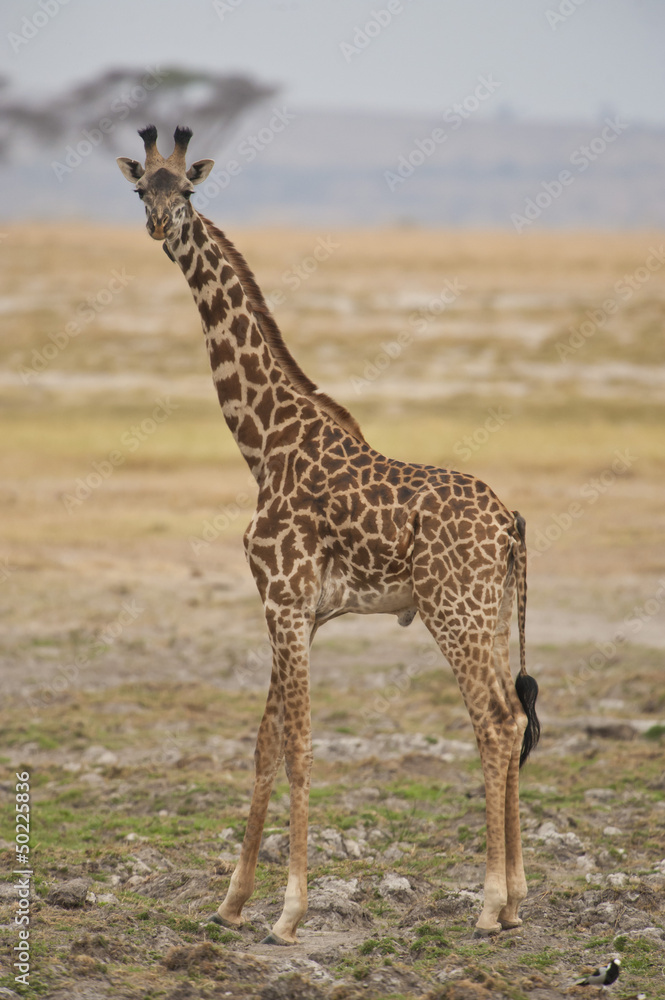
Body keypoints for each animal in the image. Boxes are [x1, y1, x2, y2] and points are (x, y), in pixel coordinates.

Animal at [117, 125, 540, 943]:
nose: (160, 227)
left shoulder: (283, 601)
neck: (262, 444)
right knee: (507, 719)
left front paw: (289, 913)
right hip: (495, 613)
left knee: (498, 722)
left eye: (188, 190)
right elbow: (263, 745)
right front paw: (231, 903)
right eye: (140, 188)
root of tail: (509, 524)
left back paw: (488, 905)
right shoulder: (299, 612)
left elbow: (301, 747)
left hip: (456, 612)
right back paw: (516, 902)